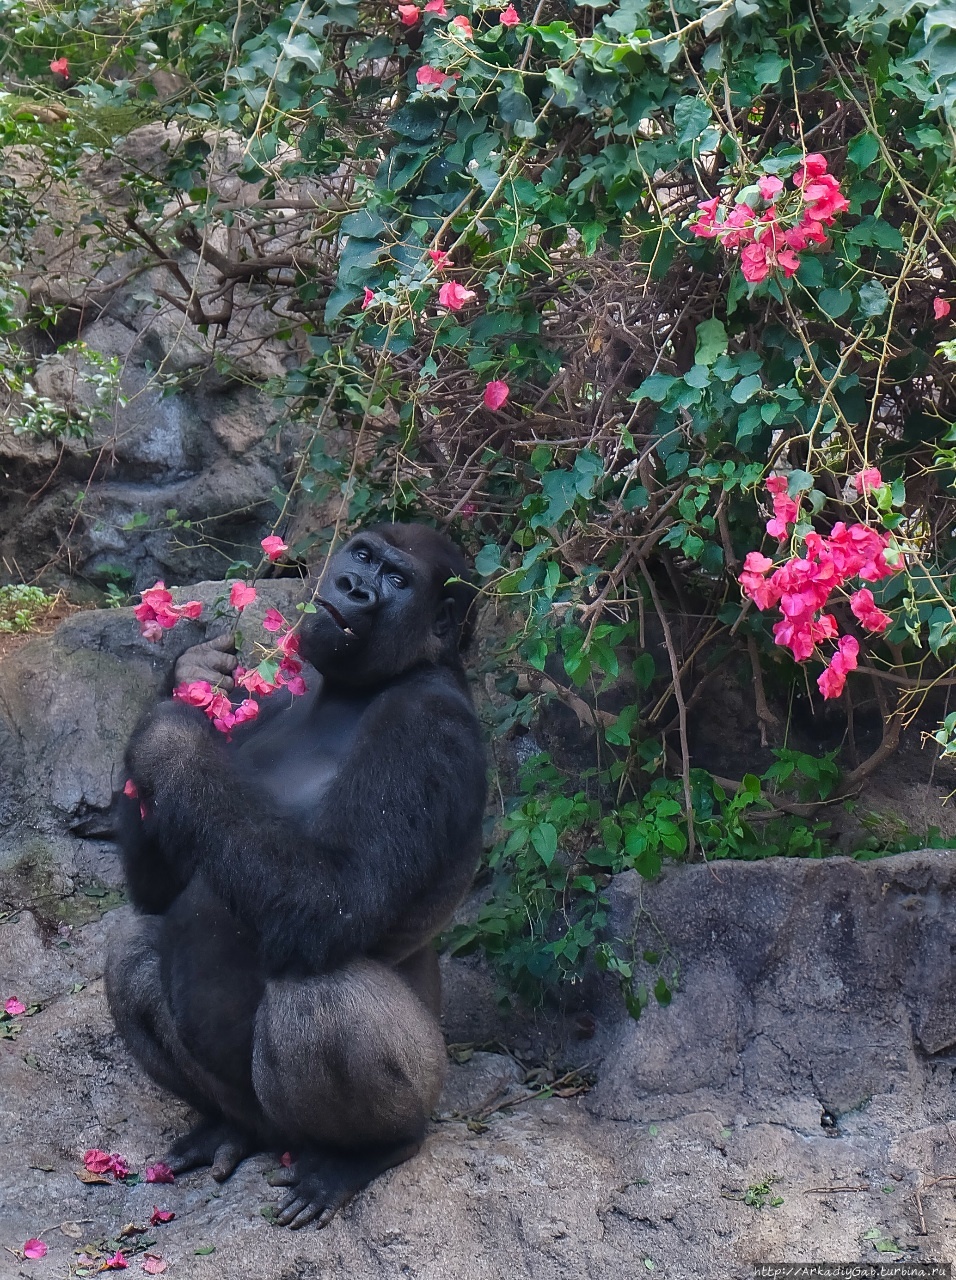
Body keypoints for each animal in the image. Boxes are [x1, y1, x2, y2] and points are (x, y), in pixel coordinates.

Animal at [106, 522, 486, 1228]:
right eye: (362, 556)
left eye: (398, 580)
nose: (355, 587)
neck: (348, 690)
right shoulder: (274, 694)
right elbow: (161, 894)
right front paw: (187, 679)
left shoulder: (427, 726)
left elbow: (334, 899)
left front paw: (170, 735)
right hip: (256, 1115)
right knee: (134, 946)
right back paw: (229, 1130)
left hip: (411, 1094)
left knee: (321, 995)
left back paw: (365, 1154)